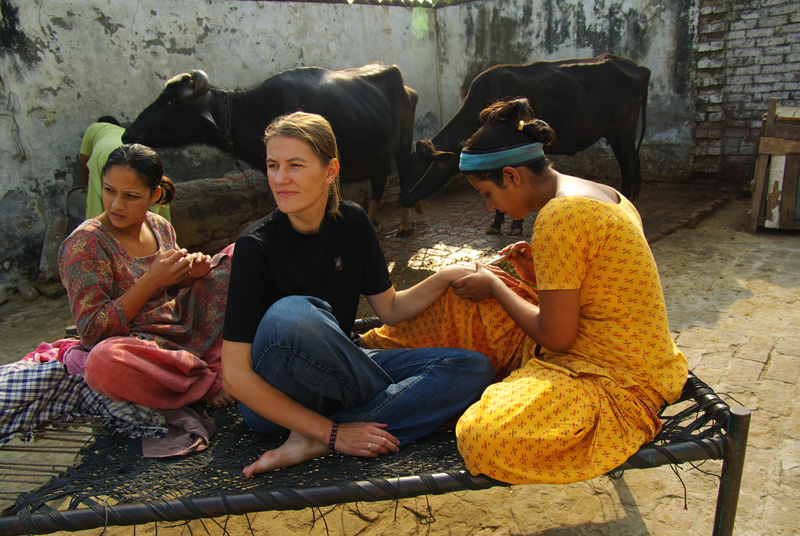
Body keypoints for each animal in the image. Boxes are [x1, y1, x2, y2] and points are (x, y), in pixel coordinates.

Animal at [123, 61, 418, 231]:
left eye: (169, 101)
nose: (128, 133)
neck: (254, 110)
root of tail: (407, 87)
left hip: (403, 145)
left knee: (404, 174)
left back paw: (406, 223)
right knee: (379, 179)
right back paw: (375, 220)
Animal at [400, 54, 648, 216]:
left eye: (418, 167)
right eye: (408, 164)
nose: (402, 199)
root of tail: (637, 67)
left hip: (624, 130)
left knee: (628, 165)